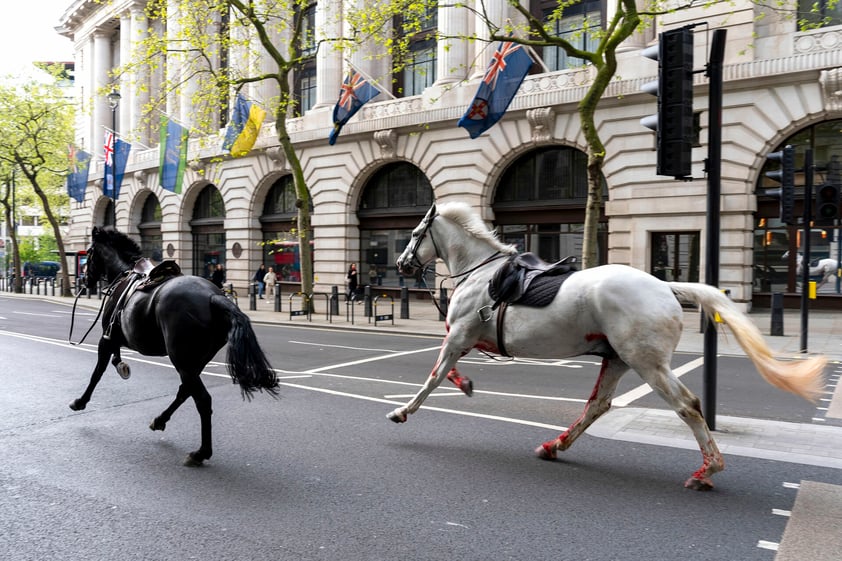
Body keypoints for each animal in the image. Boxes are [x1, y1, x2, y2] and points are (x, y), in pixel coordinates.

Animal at [69, 225, 278, 466]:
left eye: (89, 253)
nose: (84, 279)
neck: (125, 273)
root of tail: (213, 297)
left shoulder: (107, 338)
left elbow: (97, 372)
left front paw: (80, 401)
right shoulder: (115, 339)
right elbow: (113, 361)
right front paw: (121, 366)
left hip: (182, 360)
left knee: (202, 400)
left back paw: (200, 452)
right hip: (194, 361)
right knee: (185, 391)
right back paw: (160, 420)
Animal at [396, 205, 828, 490]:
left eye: (415, 233)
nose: (401, 264)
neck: (481, 273)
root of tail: (667, 287)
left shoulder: (459, 335)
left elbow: (433, 376)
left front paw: (403, 411)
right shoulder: (464, 338)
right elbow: (446, 371)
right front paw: (465, 384)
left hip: (646, 362)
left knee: (686, 406)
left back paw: (707, 471)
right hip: (620, 359)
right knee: (600, 405)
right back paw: (555, 445)